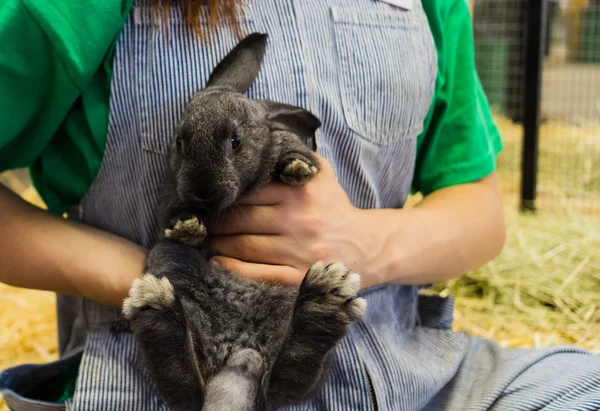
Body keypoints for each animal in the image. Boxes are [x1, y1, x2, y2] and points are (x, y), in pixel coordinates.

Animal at [122, 33, 366, 411]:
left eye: (235, 141)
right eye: (180, 142)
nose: (203, 190)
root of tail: (239, 353)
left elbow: (294, 152)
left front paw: (297, 168)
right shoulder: (171, 197)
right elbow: (173, 217)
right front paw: (188, 227)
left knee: (286, 382)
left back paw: (324, 300)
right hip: (174, 268)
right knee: (188, 388)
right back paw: (157, 309)